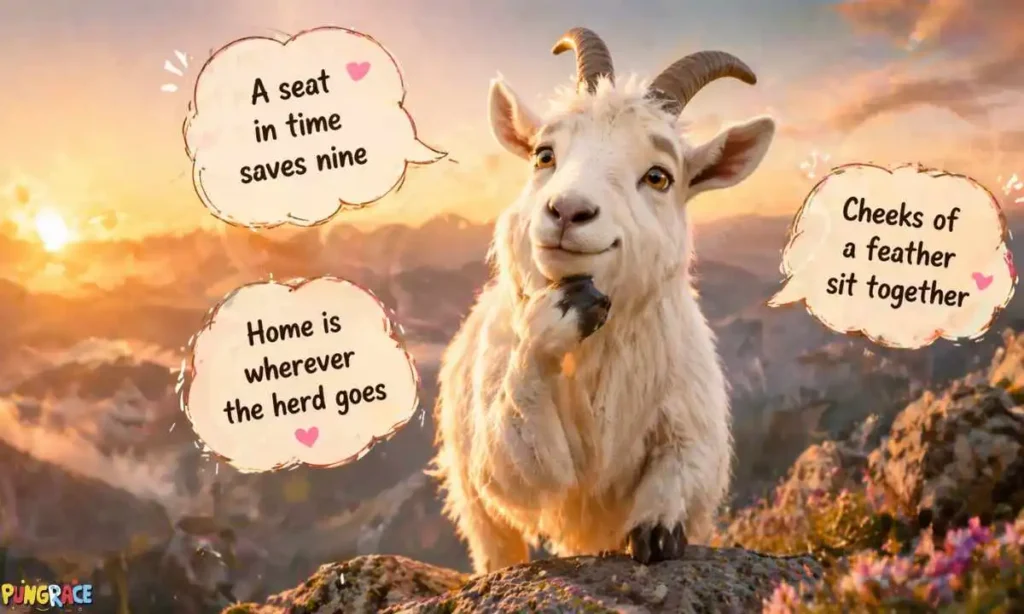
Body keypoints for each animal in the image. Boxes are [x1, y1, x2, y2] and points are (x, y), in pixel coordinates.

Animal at [431, 27, 776, 574]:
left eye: (659, 176)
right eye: (544, 154)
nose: (568, 211)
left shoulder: (695, 434)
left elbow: (681, 474)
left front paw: (659, 528)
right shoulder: (508, 456)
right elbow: (529, 458)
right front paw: (556, 318)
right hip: (474, 499)